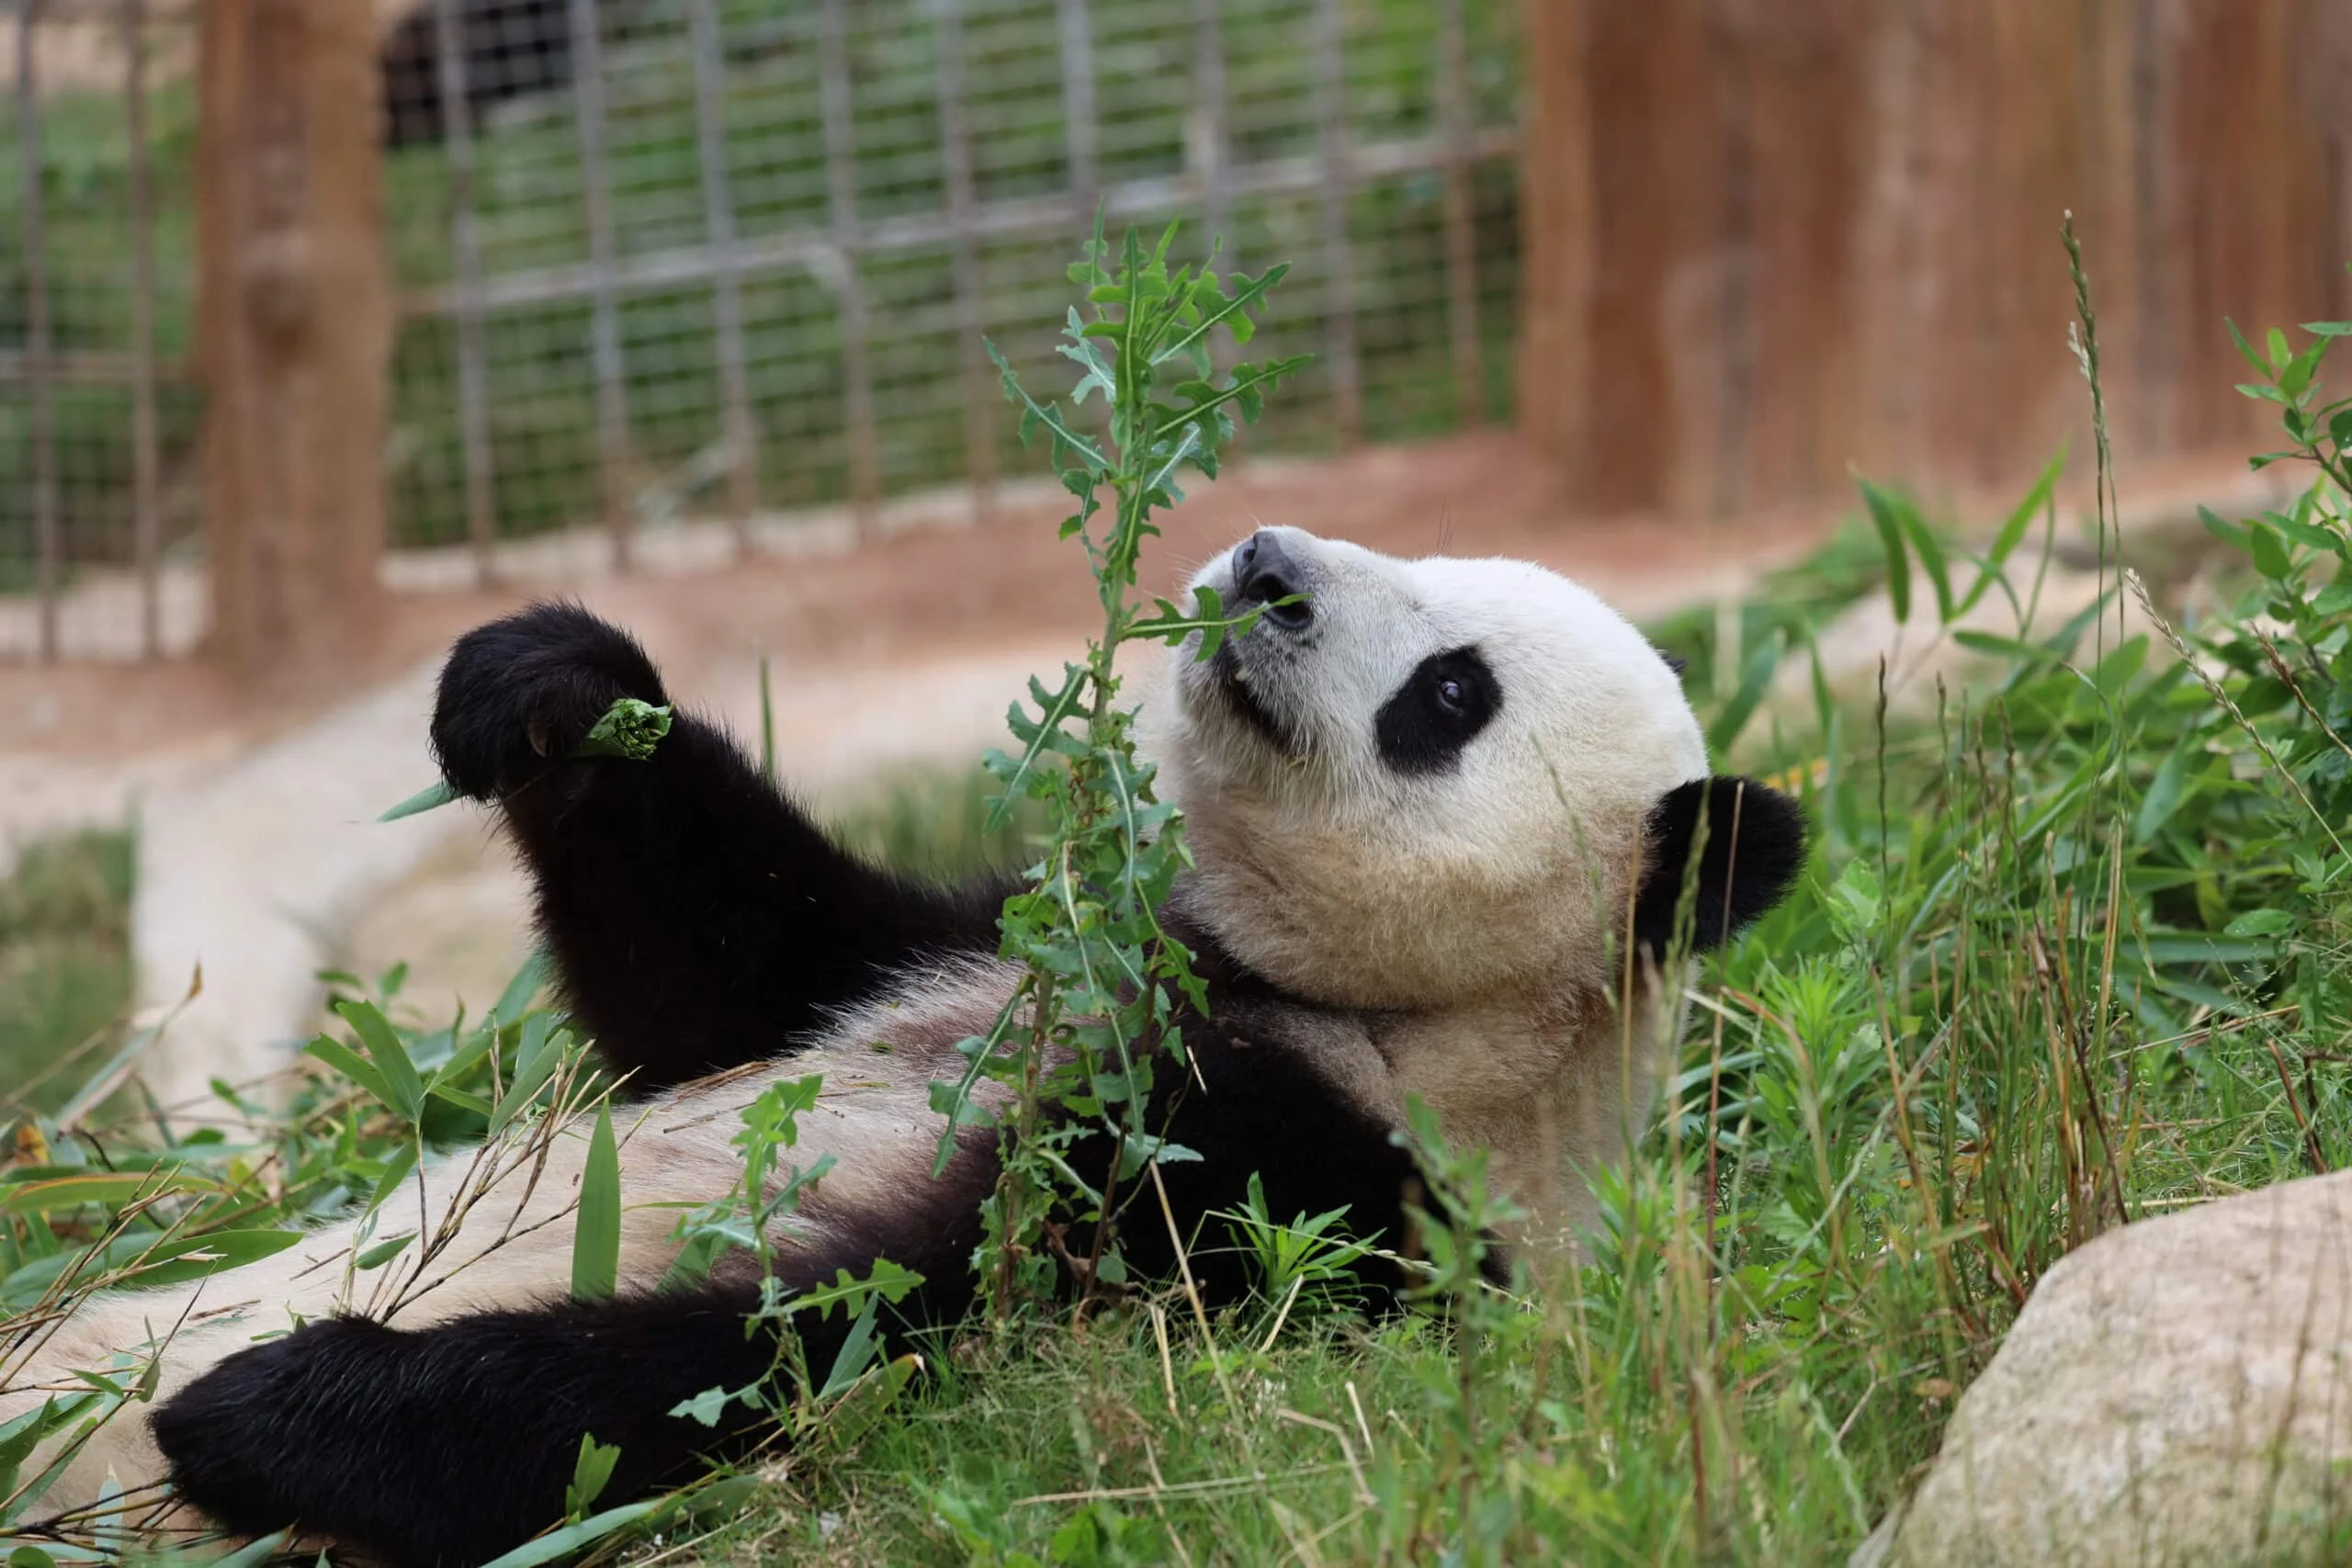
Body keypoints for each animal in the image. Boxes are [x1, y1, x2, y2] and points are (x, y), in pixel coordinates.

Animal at [1, 526, 1805, 1566]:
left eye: (1450, 693)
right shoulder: (989, 944)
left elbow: (847, 1345)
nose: (1263, 560)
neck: (1360, 1007)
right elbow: (720, 966)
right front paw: (544, 686)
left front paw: (281, 1401)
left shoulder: (1303, 1192)